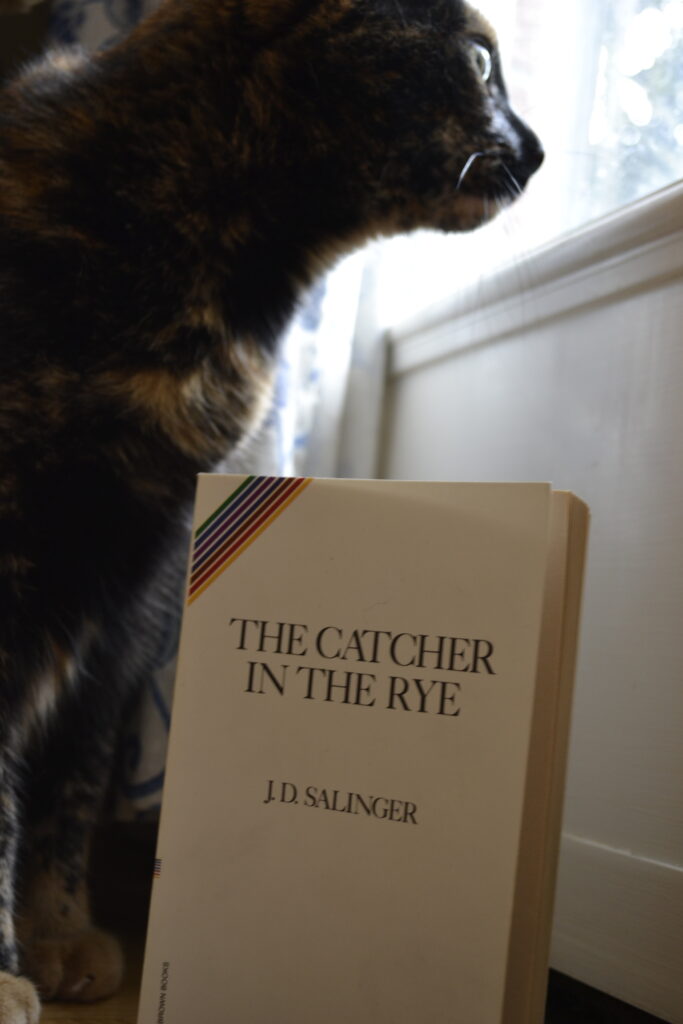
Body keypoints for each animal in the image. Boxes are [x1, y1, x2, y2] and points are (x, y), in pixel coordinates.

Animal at [0, 0, 544, 1015]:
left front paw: (55, 929)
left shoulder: (134, 578)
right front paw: (6, 972)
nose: (535, 150)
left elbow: (73, 773)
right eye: (482, 60)